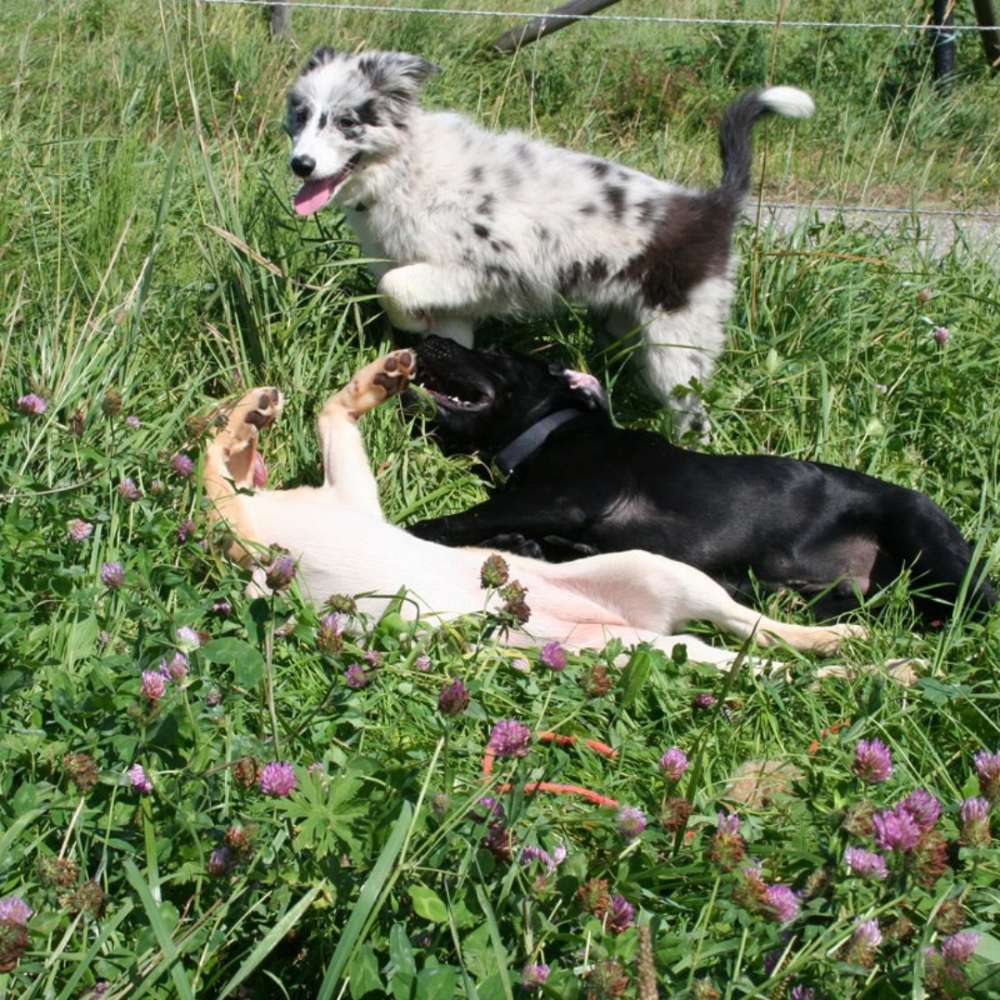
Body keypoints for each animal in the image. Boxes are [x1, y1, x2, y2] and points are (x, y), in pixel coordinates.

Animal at [201, 352, 860, 672]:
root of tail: (636, 629)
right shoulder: (251, 552)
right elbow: (216, 484)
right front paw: (242, 429)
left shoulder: (346, 497)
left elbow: (321, 420)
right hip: (650, 640)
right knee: (752, 659)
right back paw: (847, 666)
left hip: (657, 570)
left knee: (753, 626)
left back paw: (838, 644)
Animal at [284, 47, 812, 438]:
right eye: (300, 116)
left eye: (347, 121)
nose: (299, 165)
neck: (404, 169)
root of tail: (713, 206)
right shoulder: (452, 291)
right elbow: (446, 339)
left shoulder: (483, 270)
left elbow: (393, 285)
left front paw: (409, 323)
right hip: (625, 324)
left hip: (678, 349)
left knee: (695, 416)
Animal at [406, 336, 992, 620]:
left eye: (494, 353)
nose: (429, 336)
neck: (553, 428)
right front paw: (522, 545)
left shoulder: (565, 496)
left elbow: (459, 519)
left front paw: (412, 533)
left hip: (924, 537)